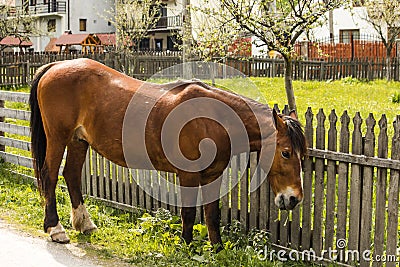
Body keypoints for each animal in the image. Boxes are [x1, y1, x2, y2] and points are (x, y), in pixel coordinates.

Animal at [28, 58, 306, 249]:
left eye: (302, 155)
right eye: (286, 153)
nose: (294, 199)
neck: (212, 118)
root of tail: (55, 65)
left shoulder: (213, 176)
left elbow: (212, 215)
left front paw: (216, 249)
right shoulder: (188, 176)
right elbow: (189, 213)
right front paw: (186, 244)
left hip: (78, 141)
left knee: (72, 175)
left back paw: (84, 224)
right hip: (58, 138)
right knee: (49, 176)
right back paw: (55, 229)